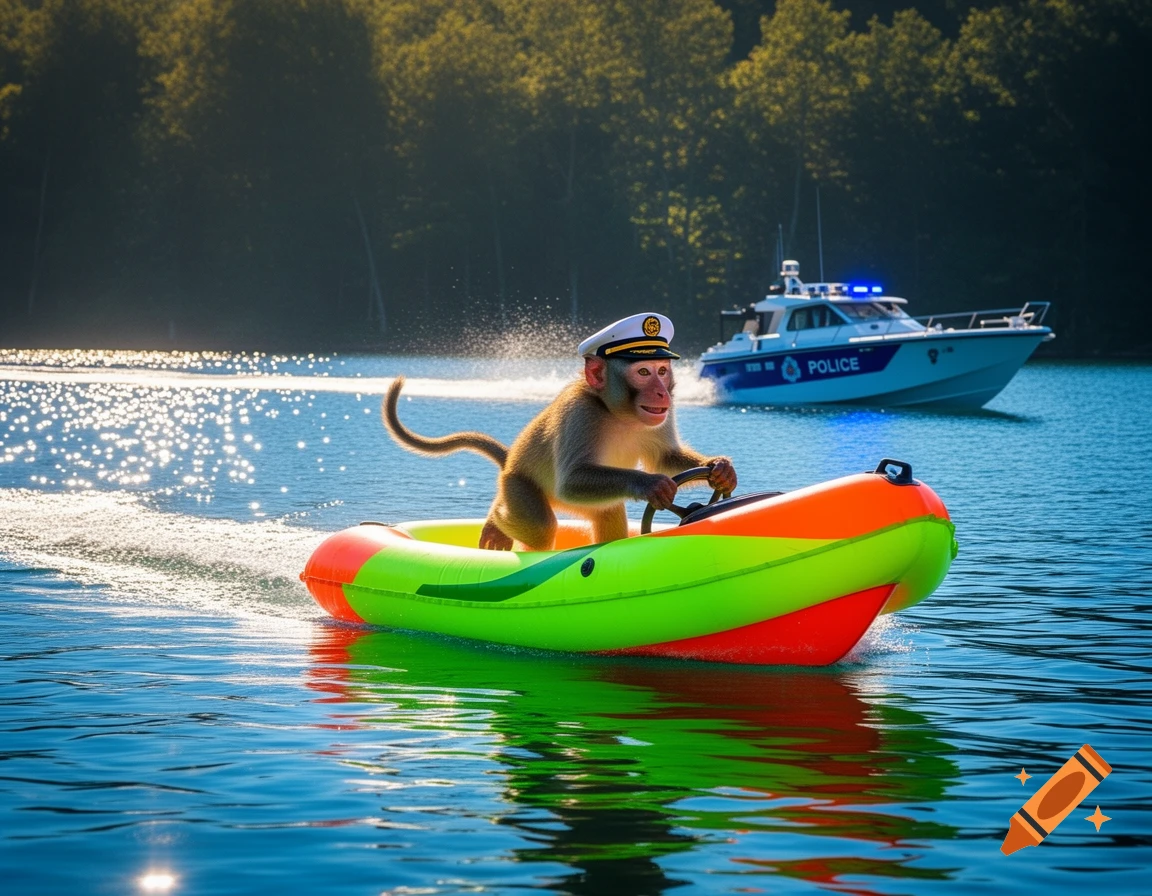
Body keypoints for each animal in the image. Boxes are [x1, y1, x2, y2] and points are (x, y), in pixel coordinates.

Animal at [381, 355, 737, 552]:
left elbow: (664, 456)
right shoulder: (581, 414)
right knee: (540, 526)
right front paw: (652, 485)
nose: (662, 392)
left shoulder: (662, 414)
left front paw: (720, 469)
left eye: (662, 370)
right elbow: (571, 479)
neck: (618, 413)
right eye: (644, 373)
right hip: (519, 486)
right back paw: (497, 520)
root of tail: (508, 462)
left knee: (608, 513)